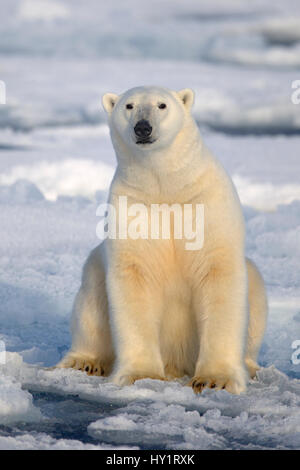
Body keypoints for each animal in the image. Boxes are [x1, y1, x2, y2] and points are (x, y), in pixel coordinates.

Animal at [56, 87, 268, 392]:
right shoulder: (134, 209)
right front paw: (141, 374)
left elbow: (218, 276)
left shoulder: (205, 203)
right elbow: (135, 279)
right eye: (129, 105)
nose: (143, 127)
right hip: (94, 271)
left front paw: (215, 379)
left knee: (256, 291)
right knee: (91, 301)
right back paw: (84, 361)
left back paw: (250, 367)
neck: (166, 187)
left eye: (162, 105)